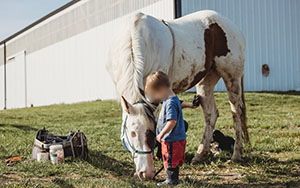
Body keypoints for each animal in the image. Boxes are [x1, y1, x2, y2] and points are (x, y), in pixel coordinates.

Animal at [105, 9, 248, 180]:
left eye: (151, 132)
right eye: (132, 133)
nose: (147, 173)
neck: (133, 38)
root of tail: (233, 26)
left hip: (232, 78)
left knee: (236, 112)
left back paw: (236, 154)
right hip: (206, 80)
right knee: (211, 114)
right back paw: (200, 155)